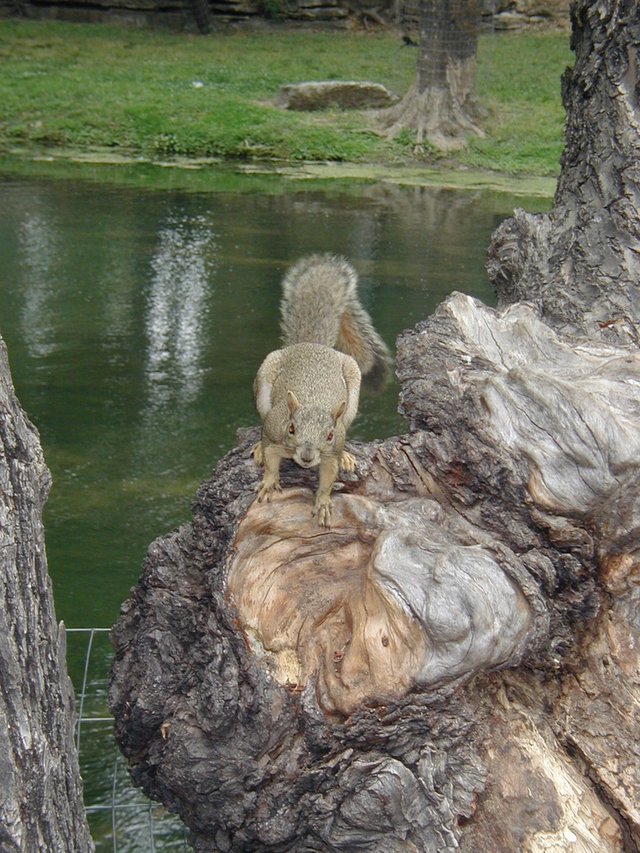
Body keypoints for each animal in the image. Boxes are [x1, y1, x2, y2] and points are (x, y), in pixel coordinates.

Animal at [252, 254, 391, 527]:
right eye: (291, 429)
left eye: (328, 436)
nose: (306, 457)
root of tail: (312, 344)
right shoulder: (273, 430)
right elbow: (271, 461)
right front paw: (269, 481)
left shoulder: (330, 452)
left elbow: (328, 478)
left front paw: (324, 502)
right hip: (264, 378)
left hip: (352, 384)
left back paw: (347, 455)